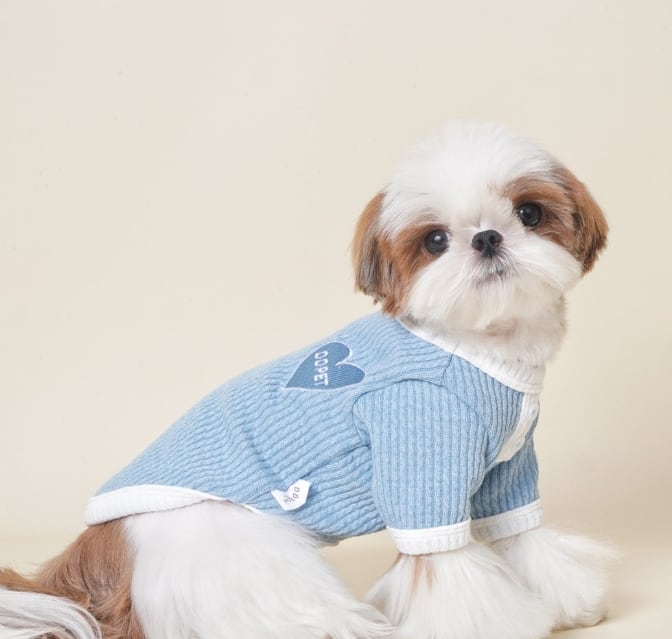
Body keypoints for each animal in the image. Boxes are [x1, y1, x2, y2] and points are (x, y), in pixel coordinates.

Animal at [0, 121, 615, 639]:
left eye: (529, 212)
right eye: (435, 240)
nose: (486, 238)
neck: (474, 346)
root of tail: (96, 551)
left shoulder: (506, 471)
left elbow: (521, 534)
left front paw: (566, 599)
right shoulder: (419, 465)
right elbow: (443, 565)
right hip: (237, 546)